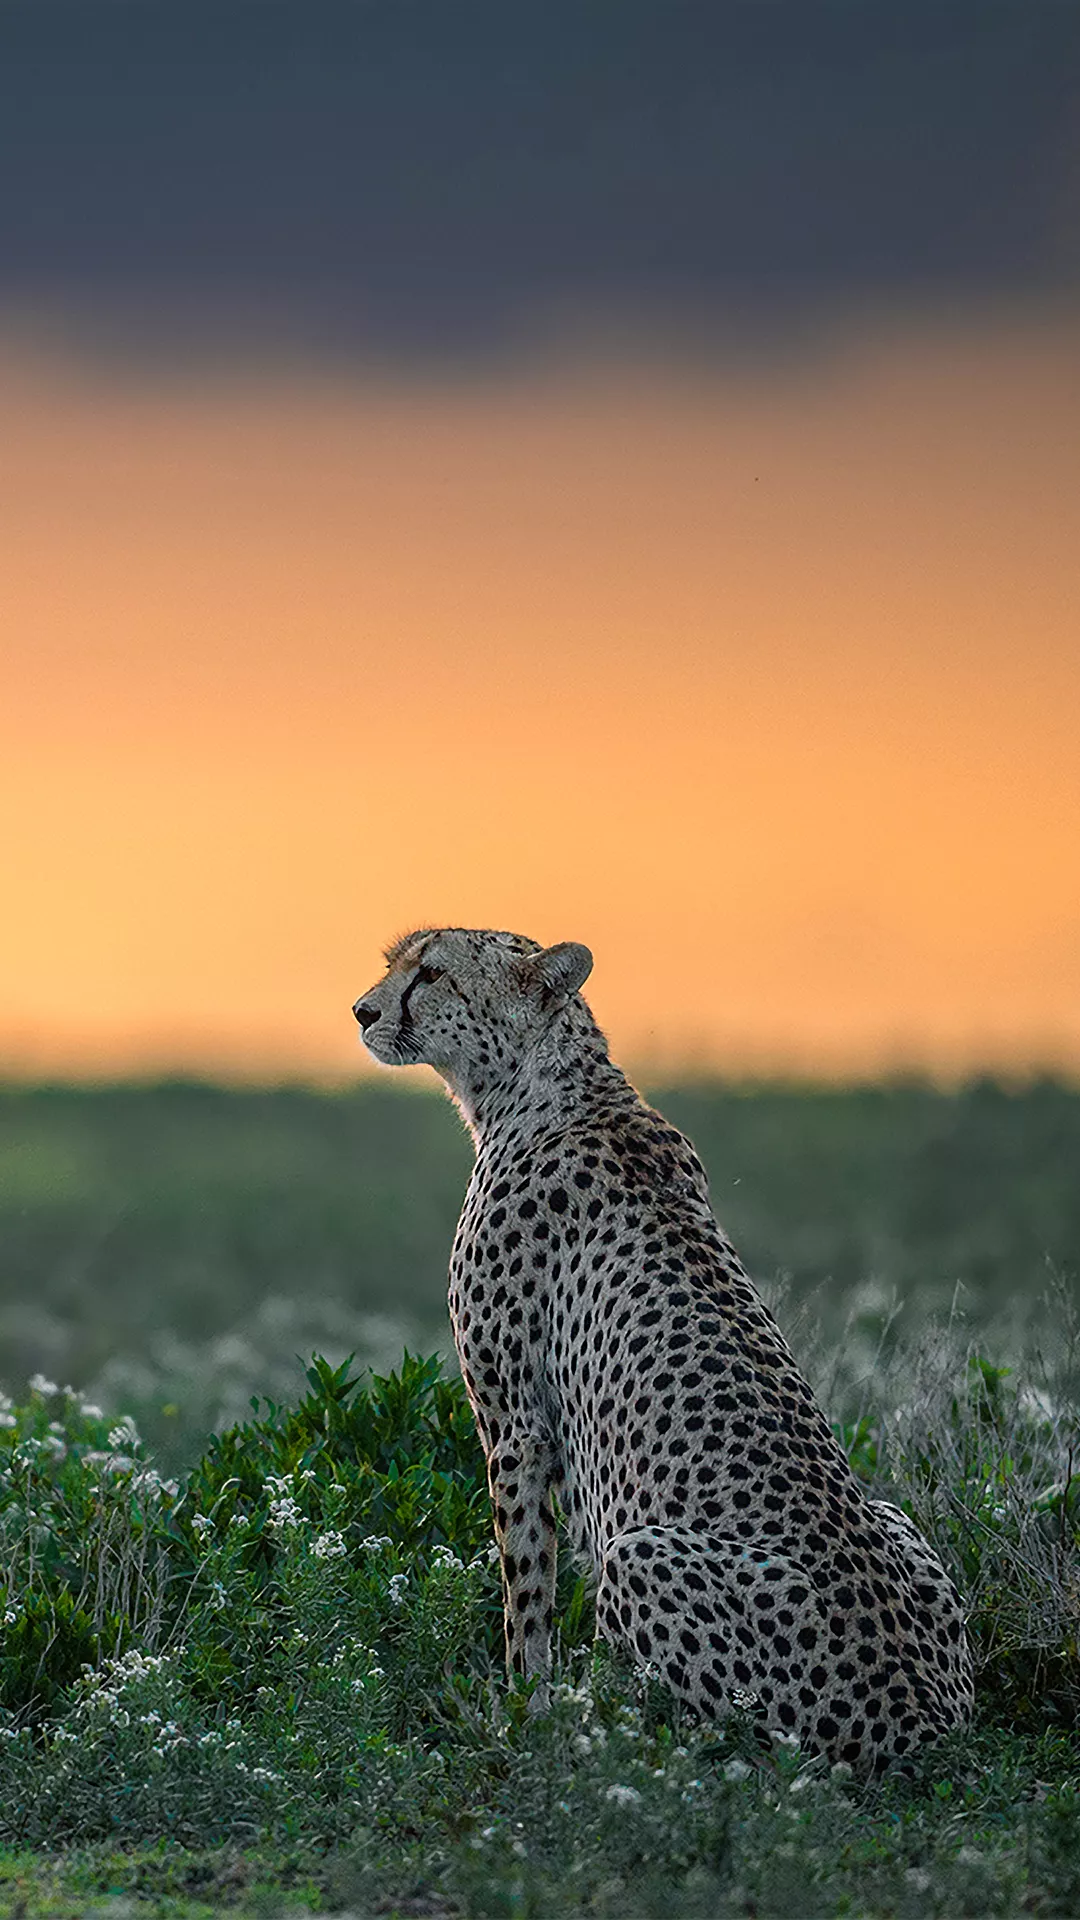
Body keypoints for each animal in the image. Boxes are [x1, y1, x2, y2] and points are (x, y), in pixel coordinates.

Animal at [351, 929, 968, 1766]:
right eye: (396, 962)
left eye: (433, 972)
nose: (363, 1010)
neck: (551, 1086)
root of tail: (928, 1725)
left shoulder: (513, 1423)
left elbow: (526, 1587)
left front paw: (523, 1716)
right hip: (894, 1515)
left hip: (641, 1556)